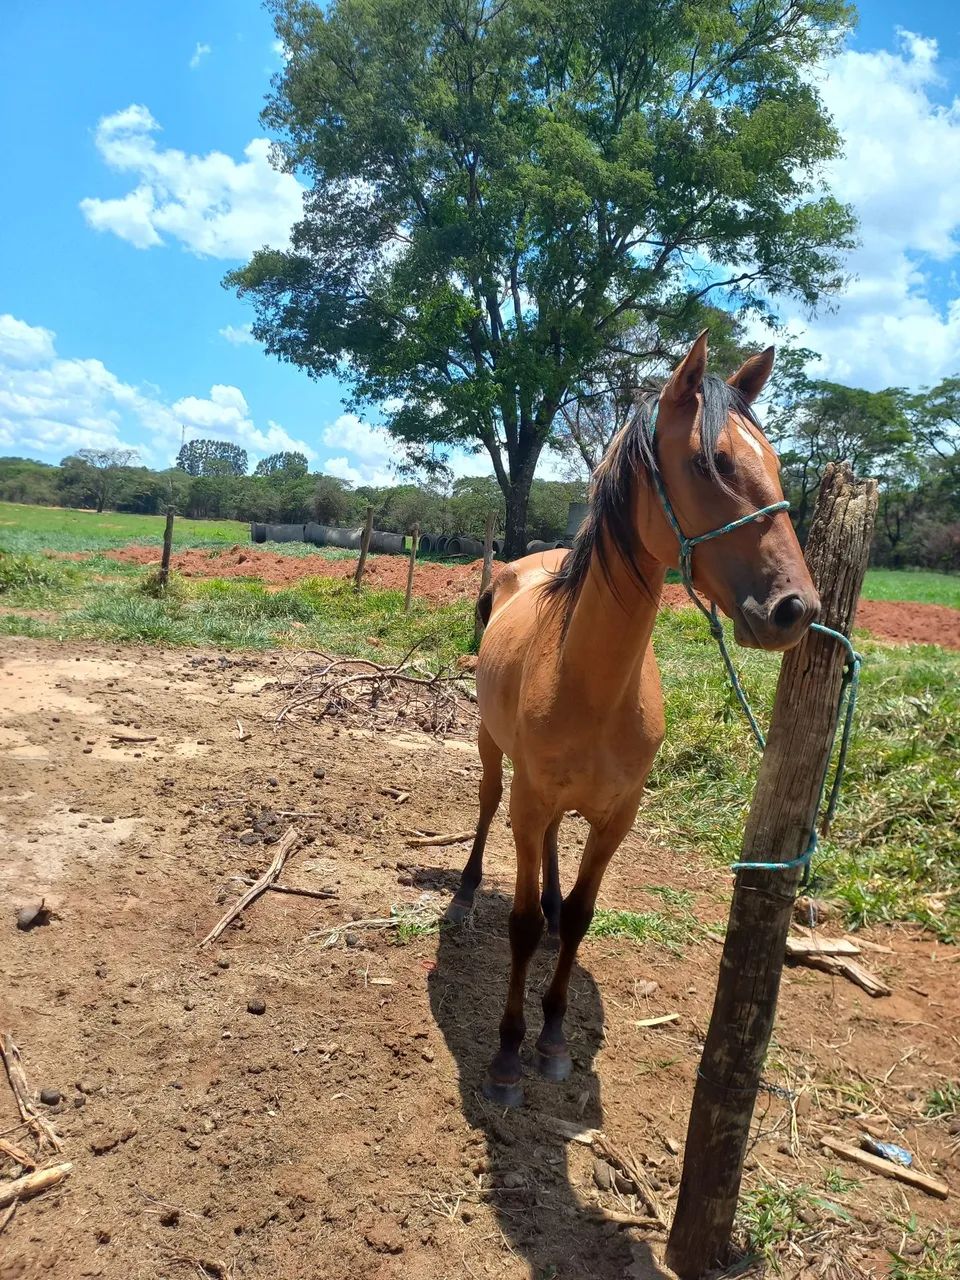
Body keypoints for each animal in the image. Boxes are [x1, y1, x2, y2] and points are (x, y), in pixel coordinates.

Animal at [445, 330, 820, 1106]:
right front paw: (507, 1054)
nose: (796, 609)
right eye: (711, 462)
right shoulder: (531, 798)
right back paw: (465, 896)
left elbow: (582, 917)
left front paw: (554, 1038)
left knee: (554, 862)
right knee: (488, 805)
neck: (592, 684)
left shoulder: (618, 814)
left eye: (775, 463)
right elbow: (519, 925)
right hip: (494, 752)